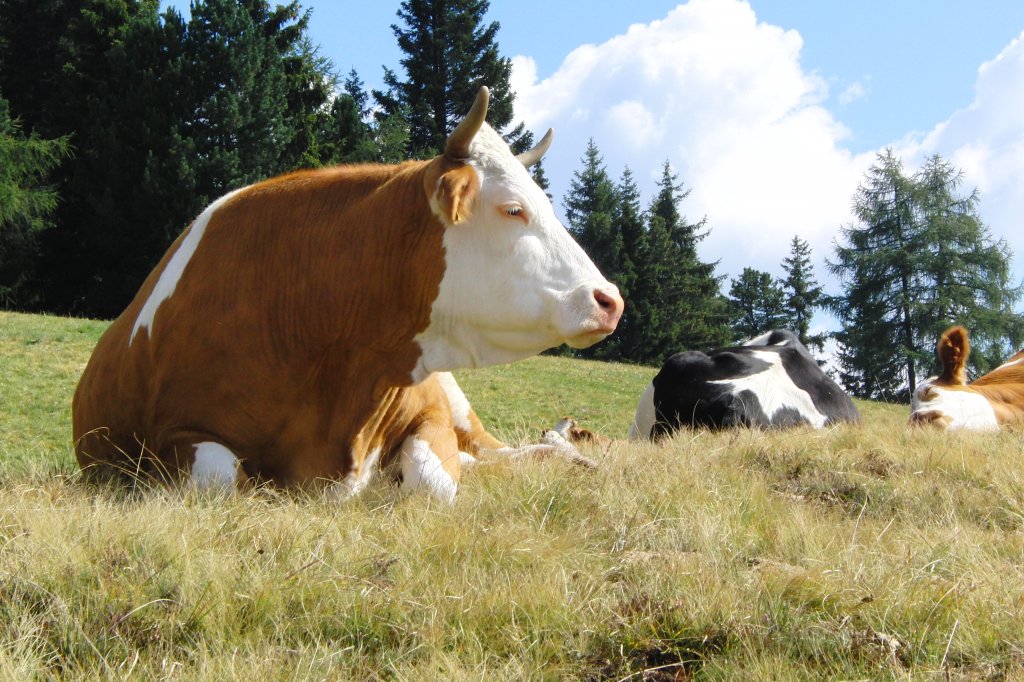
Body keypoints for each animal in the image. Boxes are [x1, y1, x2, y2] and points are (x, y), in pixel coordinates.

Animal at [74, 86, 622, 499]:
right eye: (513, 209)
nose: (609, 299)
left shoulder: (430, 412)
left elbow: (434, 481)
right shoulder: (170, 438)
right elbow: (224, 477)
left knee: (507, 451)